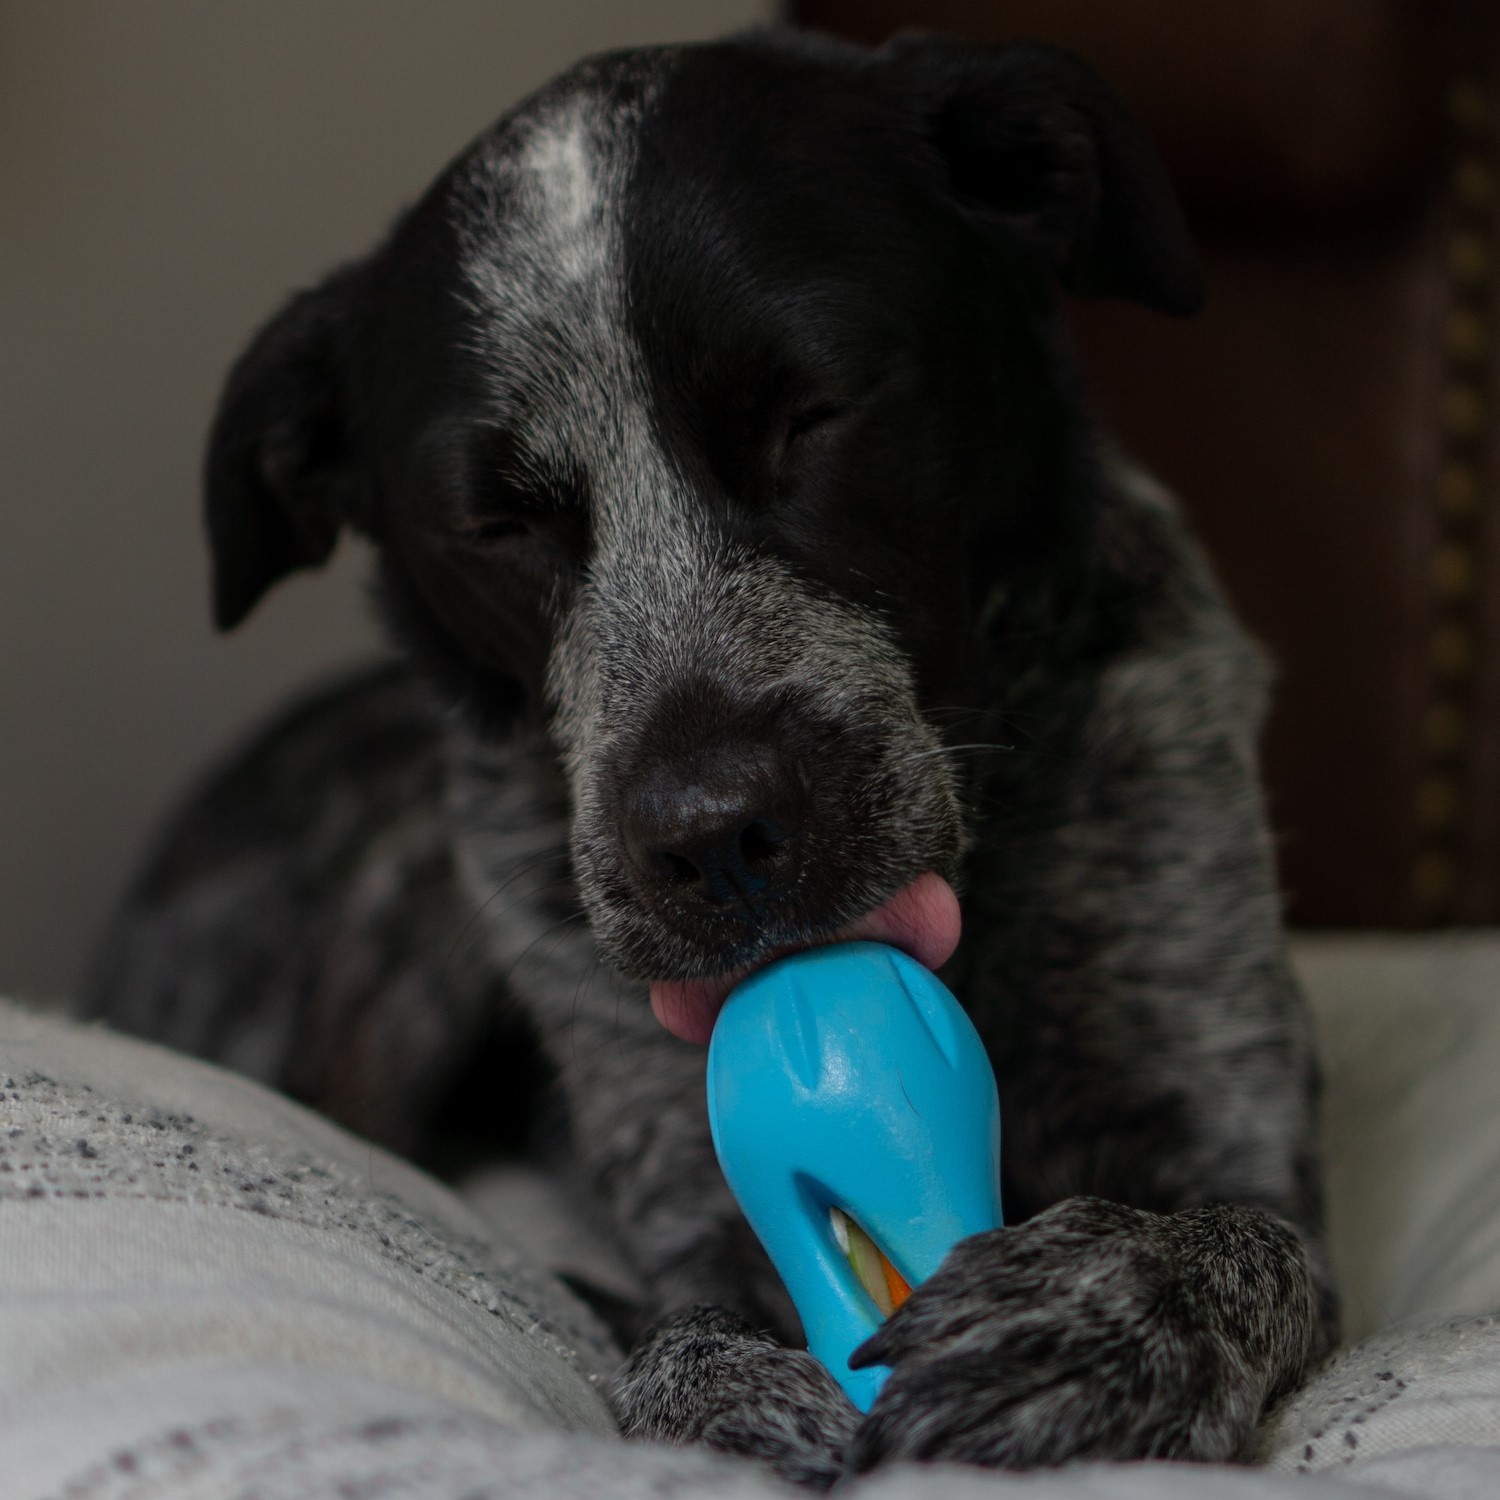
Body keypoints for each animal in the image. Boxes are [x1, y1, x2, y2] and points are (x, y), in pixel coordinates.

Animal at [82, 29, 1338, 1494]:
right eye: (494, 525)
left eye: (813, 413)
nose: (713, 841)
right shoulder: (686, 1184)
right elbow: (677, 1341)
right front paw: (741, 1398)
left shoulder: (1227, 1129)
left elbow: (1226, 1246)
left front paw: (1086, 1321)